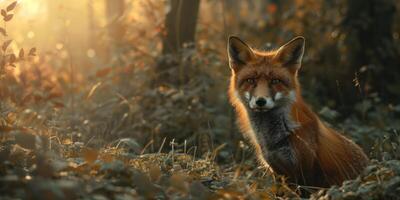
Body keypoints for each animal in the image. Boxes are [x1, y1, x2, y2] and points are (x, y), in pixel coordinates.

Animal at [227, 36, 370, 188]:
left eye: (275, 81)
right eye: (250, 80)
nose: (261, 101)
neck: (275, 138)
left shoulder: (306, 171)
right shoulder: (277, 170)